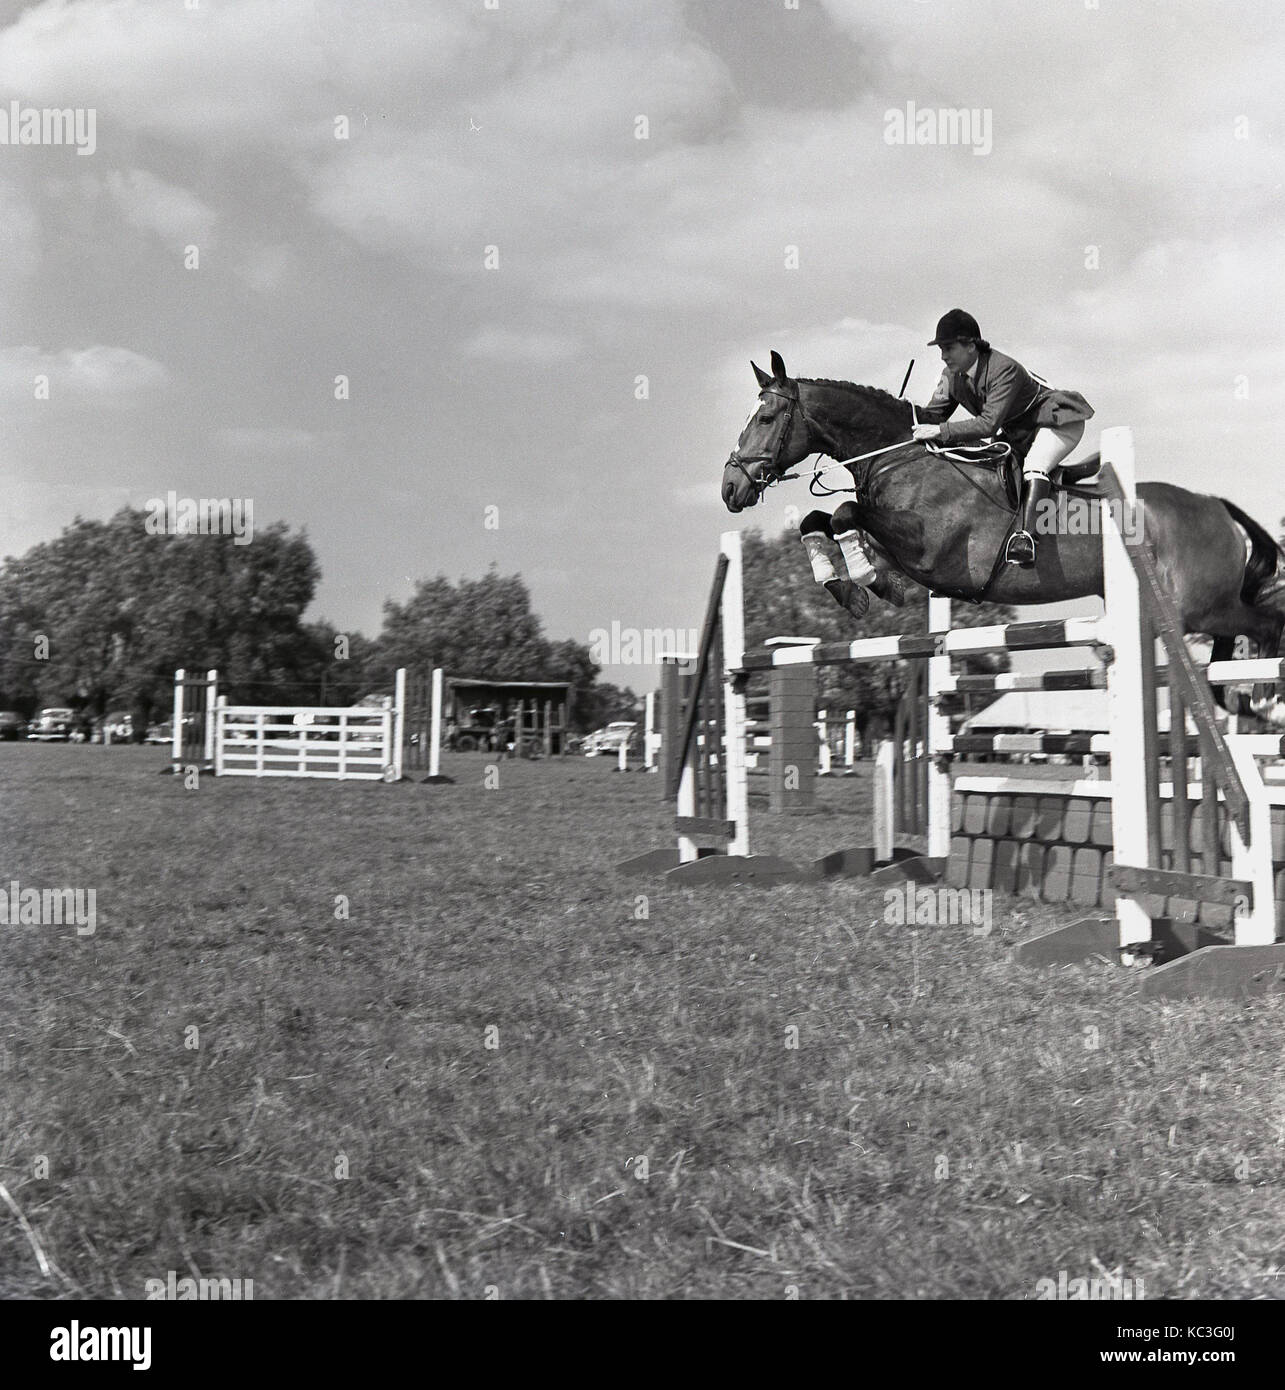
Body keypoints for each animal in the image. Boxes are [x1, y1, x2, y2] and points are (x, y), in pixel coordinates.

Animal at [723, 350, 1285, 728]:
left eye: (767, 417)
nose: (731, 488)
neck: (898, 456)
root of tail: (1213, 504)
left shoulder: (931, 550)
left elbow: (843, 512)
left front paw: (862, 582)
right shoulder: (902, 550)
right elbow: (818, 520)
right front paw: (853, 587)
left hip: (1201, 608)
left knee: (1264, 625)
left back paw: (1266, 701)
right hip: (1187, 609)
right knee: (1233, 648)